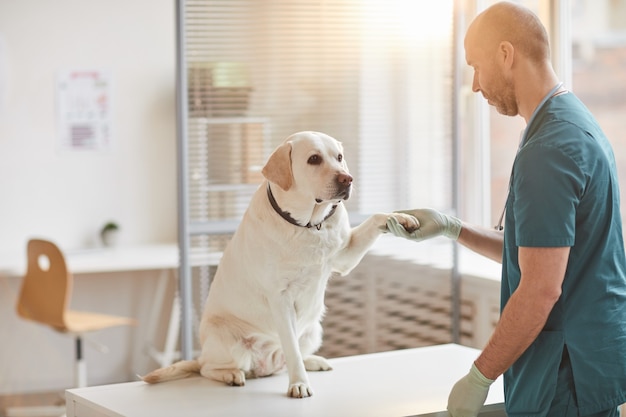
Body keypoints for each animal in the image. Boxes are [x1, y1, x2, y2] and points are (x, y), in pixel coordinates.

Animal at [141, 130, 414, 396]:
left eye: (339, 157)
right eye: (314, 159)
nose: (348, 179)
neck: (307, 225)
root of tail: (265, 365)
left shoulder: (344, 257)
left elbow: (376, 217)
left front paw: (400, 217)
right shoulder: (280, 299)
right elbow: (291, 349)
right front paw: (299, 384)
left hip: (314, 330)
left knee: (288, 359)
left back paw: (313, 361)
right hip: (227, 341)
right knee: (208, 368)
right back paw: (231, 374)